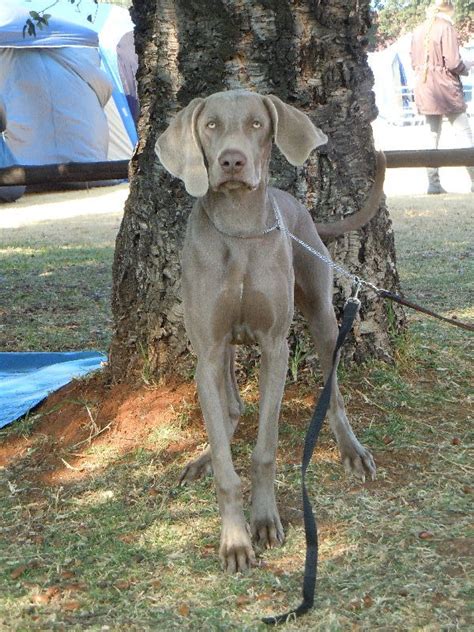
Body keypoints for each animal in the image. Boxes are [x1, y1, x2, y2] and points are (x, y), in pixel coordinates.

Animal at [156, 91, 386, 576]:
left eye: (257, 123)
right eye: (210, 125)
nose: (232, 161)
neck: (240, 228)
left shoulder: (275, 346)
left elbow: (264, 449)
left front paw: (263, 519)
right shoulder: (208, 350)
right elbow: (227, 463)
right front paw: (235, 540)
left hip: (323, 317)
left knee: (333, 395)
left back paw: (352, 451)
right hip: (221, 350)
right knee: (231, 409)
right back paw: (203, 456)